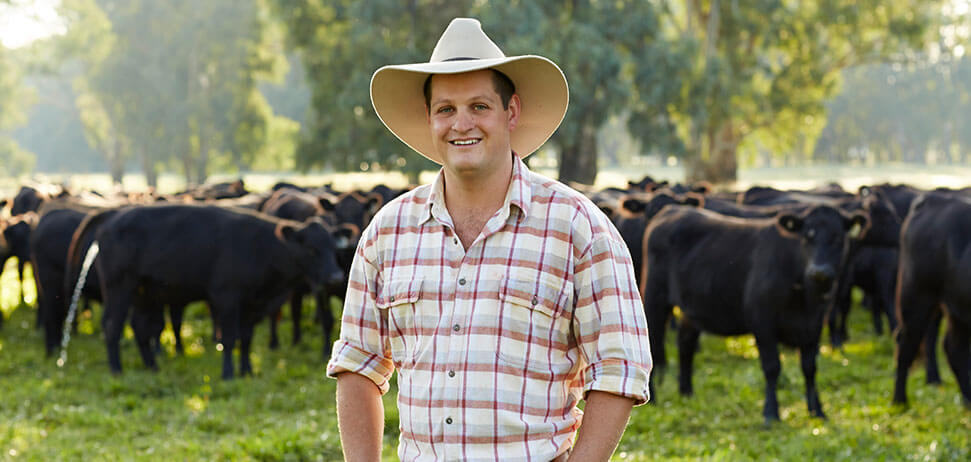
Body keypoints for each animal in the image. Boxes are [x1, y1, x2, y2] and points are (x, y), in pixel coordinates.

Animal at [66, 206, 346, 378]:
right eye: (310, 248)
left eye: (333, 248)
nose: (335, 276)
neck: (261, 246)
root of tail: (114, 213)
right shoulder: (226, 298)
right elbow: (229, 338)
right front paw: (229, 374)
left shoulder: (252, 304)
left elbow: (246, 339)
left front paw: (247, 371)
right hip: (119, 288)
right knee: (112, 326)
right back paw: (117, 370)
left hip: (143, 293)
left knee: (139, 328)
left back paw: (152, 366)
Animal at [644, 206, 864, 422]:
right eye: (806, 237)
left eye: (838, 238)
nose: (819, 272)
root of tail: (672, 210)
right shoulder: (761, 321)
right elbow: (772, 367)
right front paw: (771, 413)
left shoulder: (815, 325)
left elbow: (810, 367)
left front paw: (817, 410)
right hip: (654, 299)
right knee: (653, 345)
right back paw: (653, 399)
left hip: (691, 310)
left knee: (685, 345)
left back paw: (687, 393)